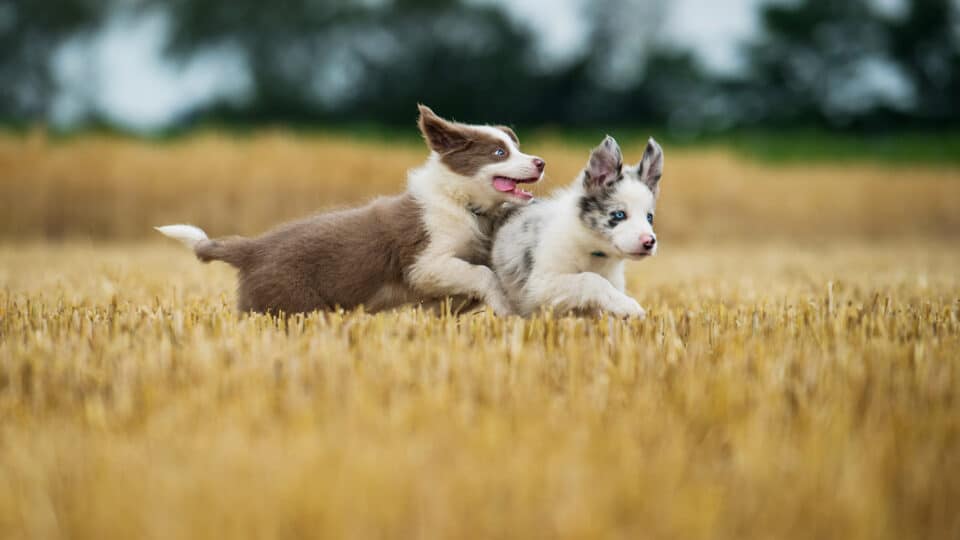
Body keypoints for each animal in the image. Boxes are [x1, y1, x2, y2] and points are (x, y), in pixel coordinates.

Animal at [158, 104, 548, 316]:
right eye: (499, 153)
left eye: (516, 146)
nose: (541, 162)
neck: (460, 201)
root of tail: (253, 248)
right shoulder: (424, 262)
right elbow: (480, 274)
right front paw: (504, 306)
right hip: (287, 302)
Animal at [496, 137, 660, 318]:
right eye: (619, 214)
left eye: (649, 217)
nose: (649, 242)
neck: (593, 251)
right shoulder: (539, 285)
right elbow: (590, 279)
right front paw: (627, 305)